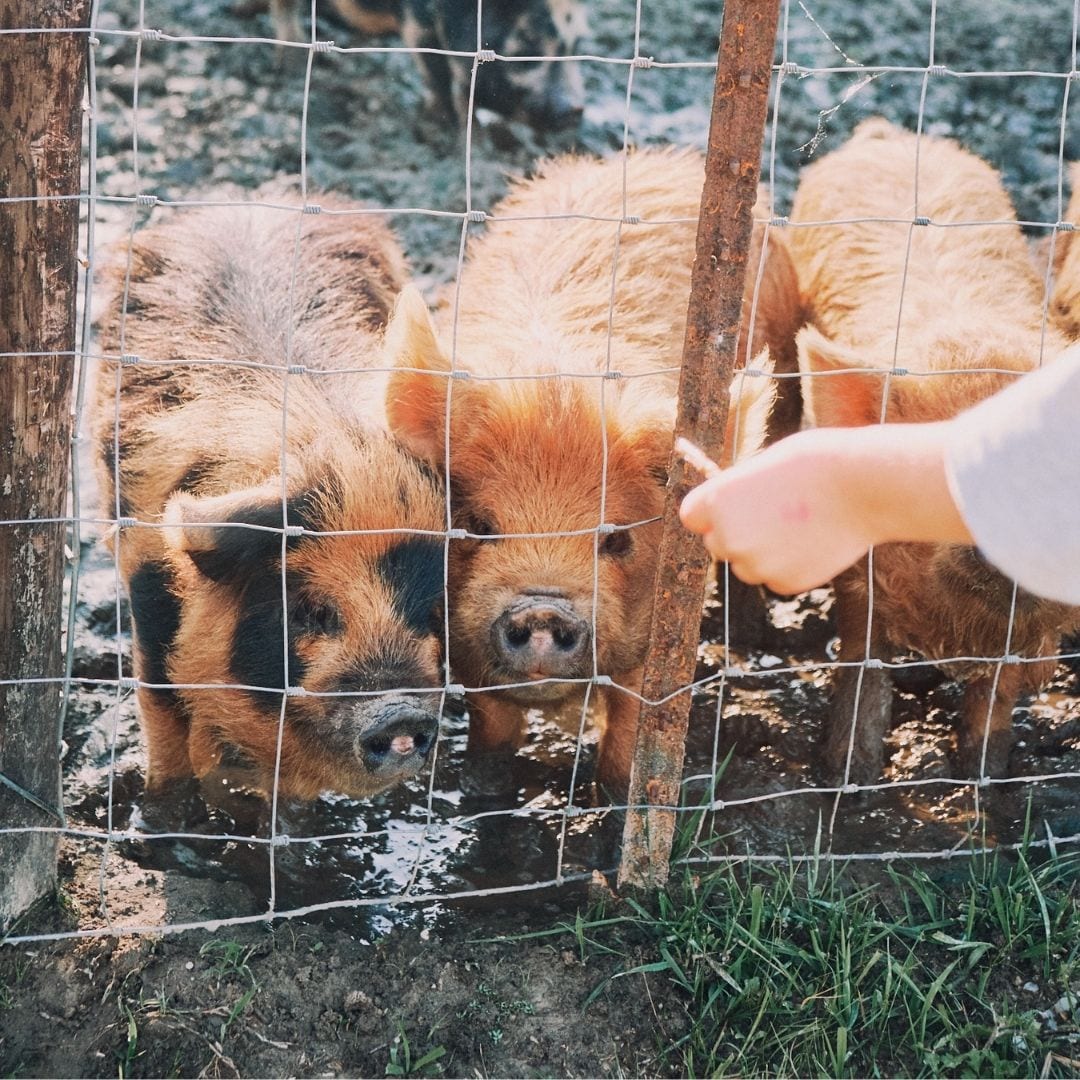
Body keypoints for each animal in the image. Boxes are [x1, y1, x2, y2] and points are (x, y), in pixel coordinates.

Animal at [92, 195, 447, 801]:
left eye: (427, 610)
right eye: (314, 610)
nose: (399, 712)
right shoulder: (147, 581)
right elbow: (163, 709)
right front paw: (164, 807)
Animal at [382, 147, 804, 797]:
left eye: (617, 538)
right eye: (478, 525)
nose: (542, 608)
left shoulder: (654, 638)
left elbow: (631, 737)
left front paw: (609, 803)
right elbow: (493, 723)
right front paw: (482, 786)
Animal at [786, 118, 1080, 785]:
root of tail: (889, 134)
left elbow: (996, 694)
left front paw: (982, 777)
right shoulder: (857, 565)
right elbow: (862, 658)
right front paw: (846, 777)